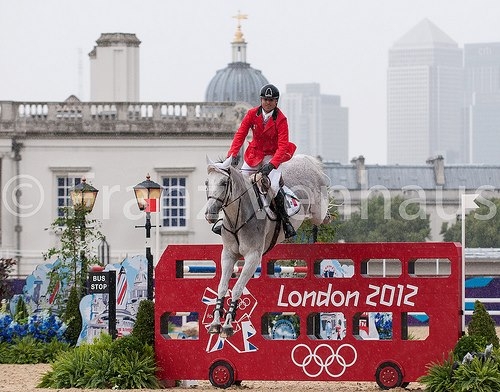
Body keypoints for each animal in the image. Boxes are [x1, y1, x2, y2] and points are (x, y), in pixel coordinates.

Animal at [205, 155, 330, 338]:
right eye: (207, 183)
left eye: (223, 183)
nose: (210, 214)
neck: (237, 217)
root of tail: (306, 160)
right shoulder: (228, 255)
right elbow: (222, 287)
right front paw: (215, 324)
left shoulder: (253, 257)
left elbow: (237, 288)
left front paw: (227, 326)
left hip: (318, 211)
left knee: (322, 214)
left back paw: (328, 215)